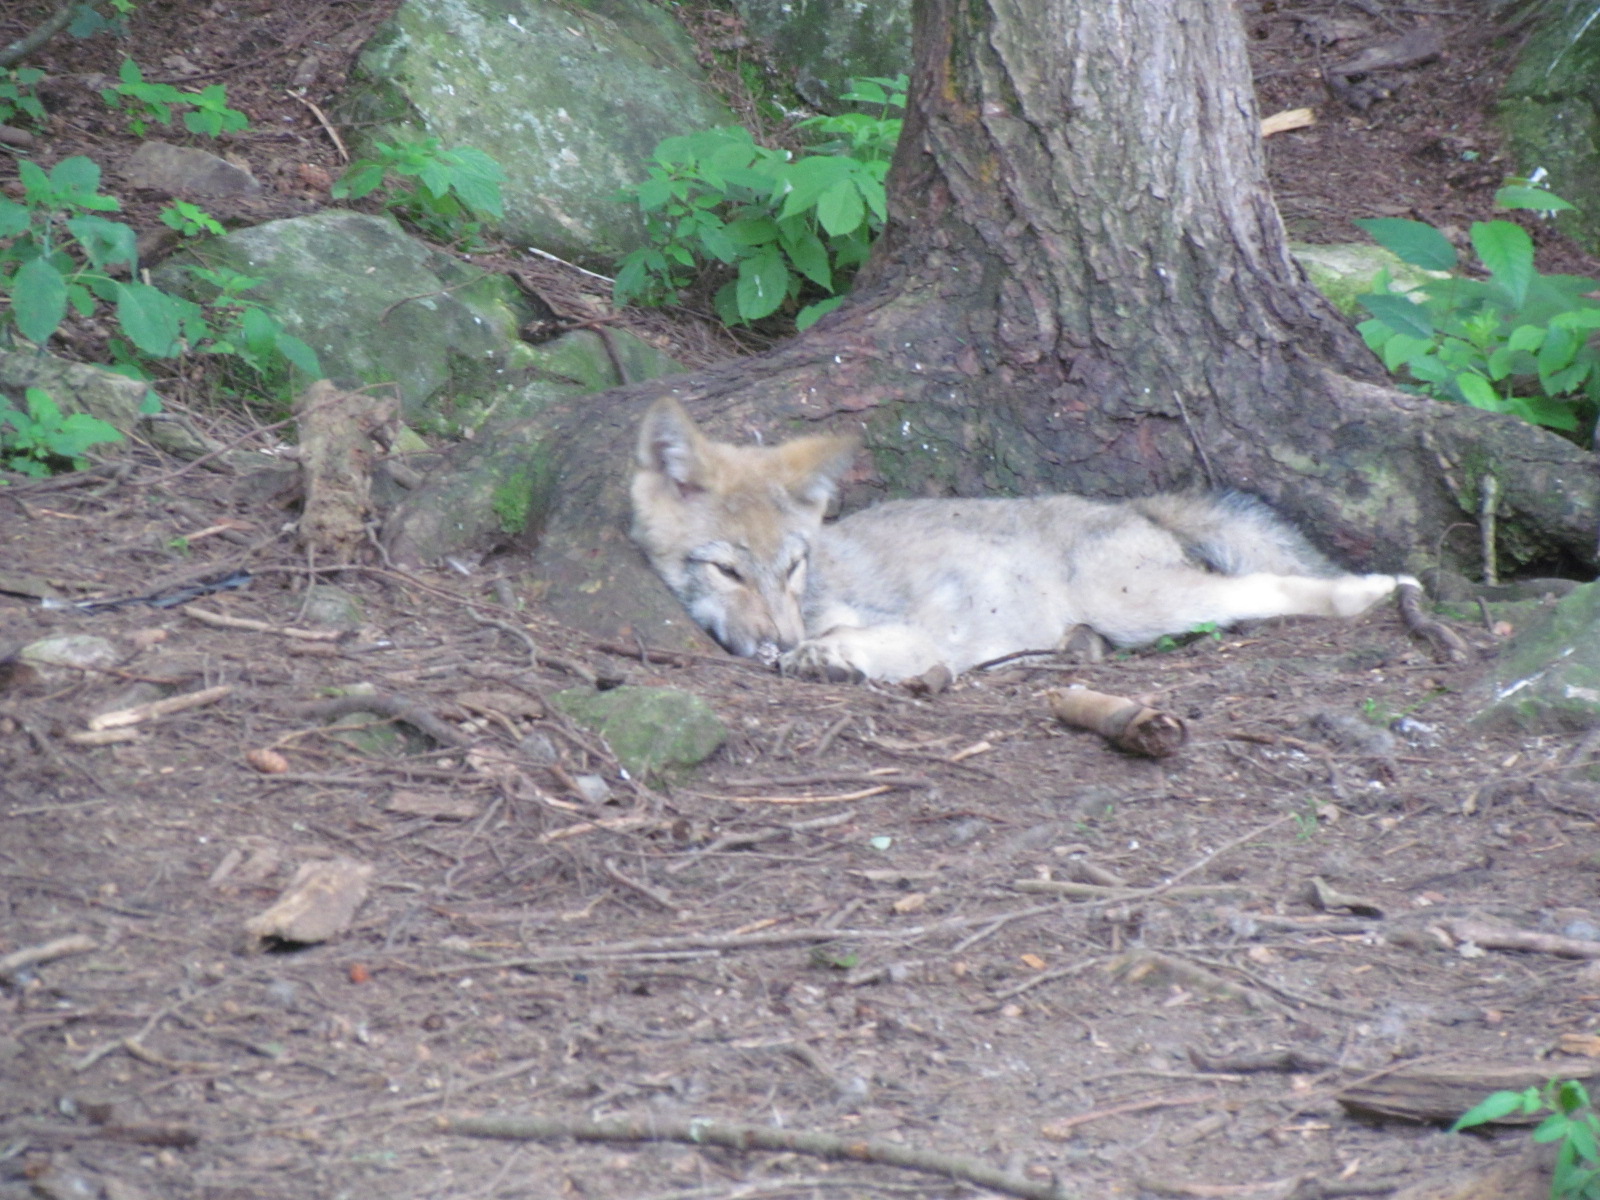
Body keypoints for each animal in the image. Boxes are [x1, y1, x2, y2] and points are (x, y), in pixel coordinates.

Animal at [630, 400, 1420, 684]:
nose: (782, 642)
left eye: (794, 567)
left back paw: (1381, 591)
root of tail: (1133, 504)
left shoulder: (919, 640)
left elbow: (869, 646)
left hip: (1143, 602)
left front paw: (824, 657)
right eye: (728, 572)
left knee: (1269, 588)